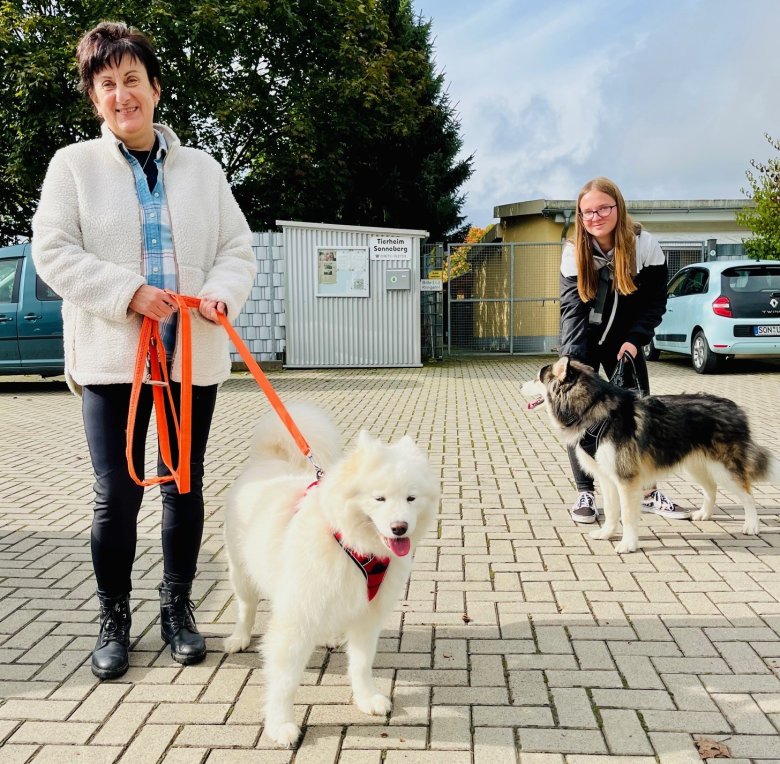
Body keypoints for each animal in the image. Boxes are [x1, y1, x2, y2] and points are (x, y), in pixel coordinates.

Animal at [222, 402, 438, 748]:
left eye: (411, 498)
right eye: (379, 498)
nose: (400, 528)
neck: (354, 547)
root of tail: (268, 460)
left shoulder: (367, 614)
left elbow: (361, 663)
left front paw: (366, 698)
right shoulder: (296, 618)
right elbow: (285, 679)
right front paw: (280, 724)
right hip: (241, 571)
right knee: (247, 606)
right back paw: (239, 638)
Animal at [520, 356, 776, 552]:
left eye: (537, 378)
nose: (520, 386)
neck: (593, 410)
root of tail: (735, 408)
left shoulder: (626, 480)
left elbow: (627, 515)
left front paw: (628, 544)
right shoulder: (607, 478)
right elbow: (611, 511)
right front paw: (606, 533)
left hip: (724, 469)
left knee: (747, 494)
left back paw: (752, 525)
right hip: (696, 465)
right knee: (711, 489)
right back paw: (704, 514)